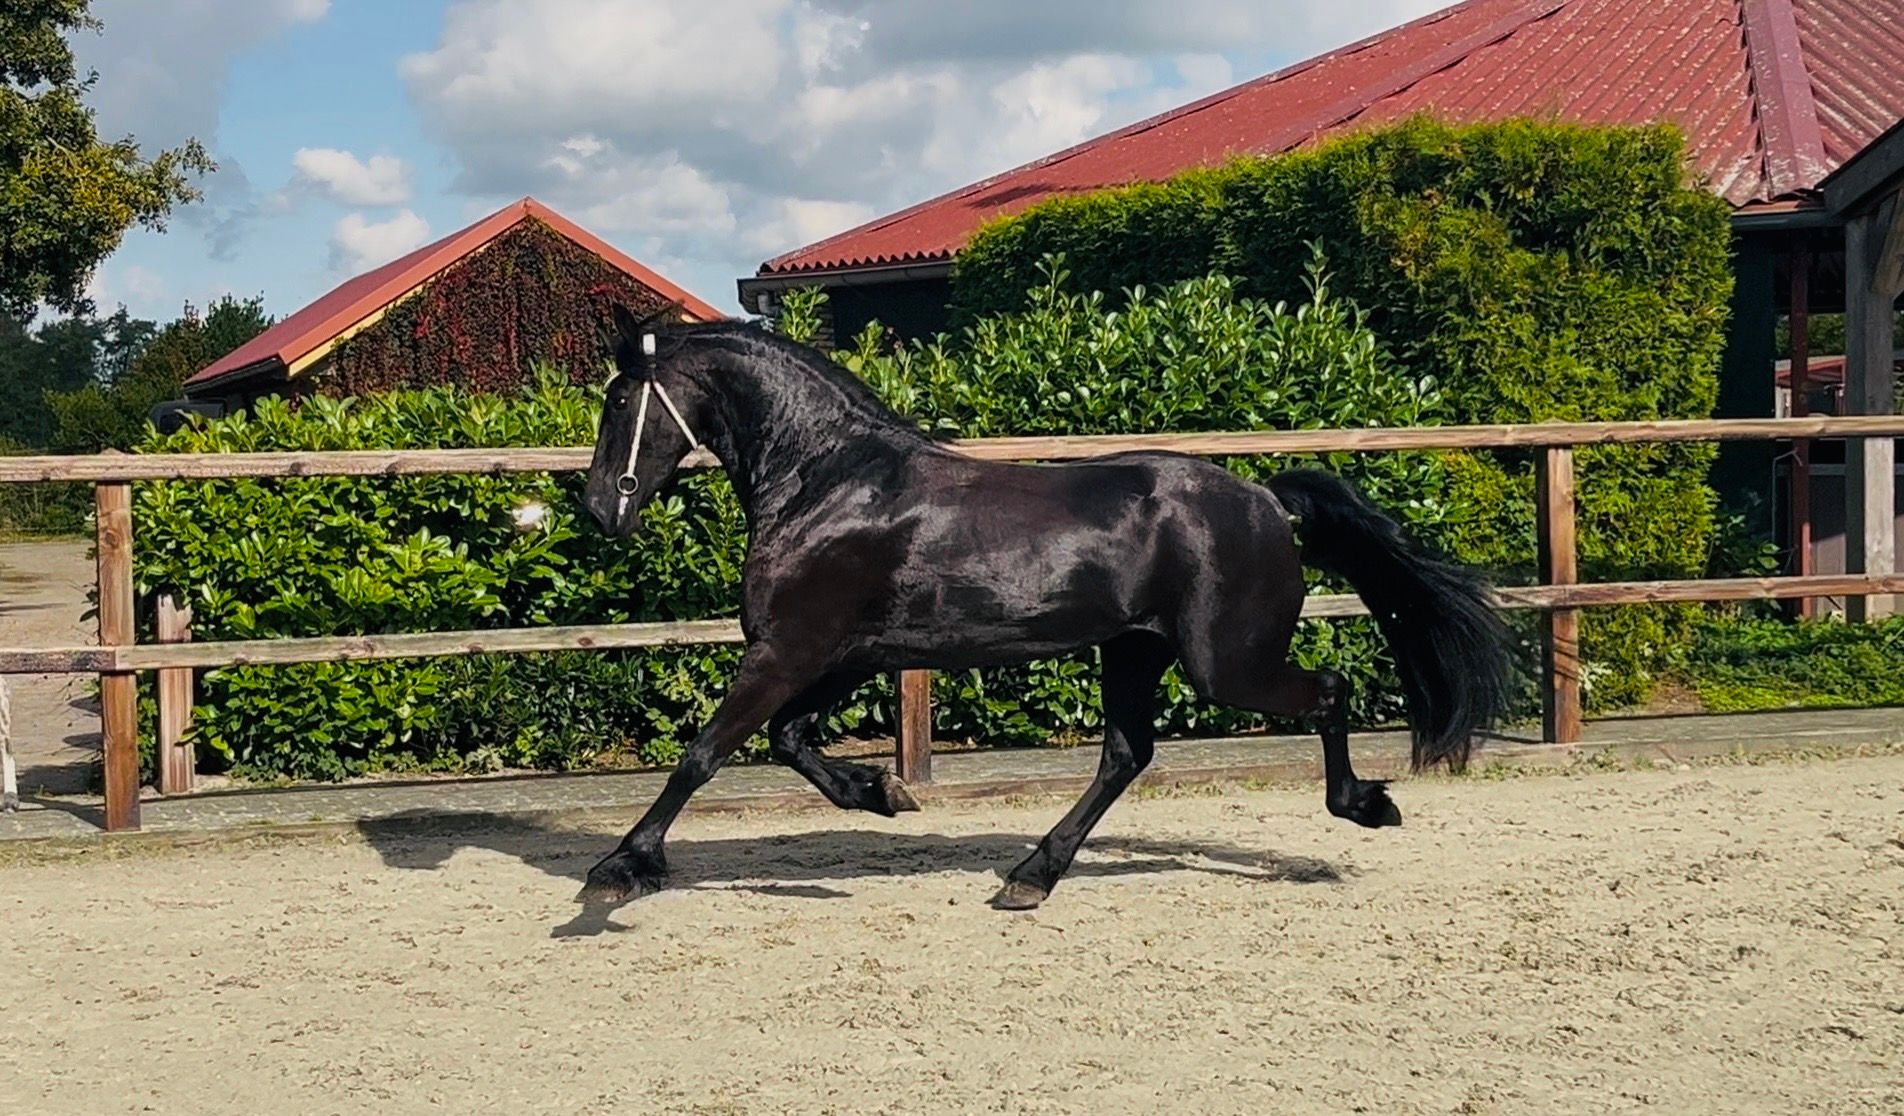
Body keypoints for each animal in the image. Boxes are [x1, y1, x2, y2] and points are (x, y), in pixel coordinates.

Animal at [575, 302, 1515, 910]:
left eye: (618, 400)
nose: (594, 511)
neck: (828, 482)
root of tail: (1265, 499)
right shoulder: (845, 654)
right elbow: (787, 741)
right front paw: (882, 792)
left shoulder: (789, 650)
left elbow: (704, 752)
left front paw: (623, 866)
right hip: (1134, 649)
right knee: (1127, 755)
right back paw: (1032, 875)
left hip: (1226, 662)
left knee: (1325, 691)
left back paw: (1366, 804)